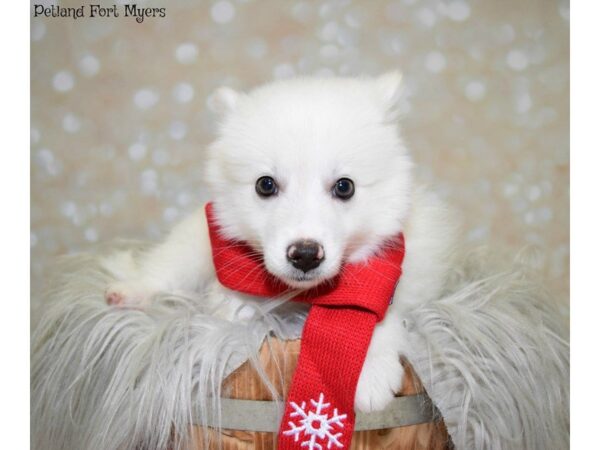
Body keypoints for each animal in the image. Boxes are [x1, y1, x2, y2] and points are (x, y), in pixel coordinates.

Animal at [105, 72, 458, 414]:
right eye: (265, 185)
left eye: (345, 187)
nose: (305, 255)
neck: (304, 297)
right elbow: (232, 304)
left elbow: (380, 315)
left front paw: (369, 373)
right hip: (195, 244)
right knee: (166, 267)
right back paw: (131, 290)